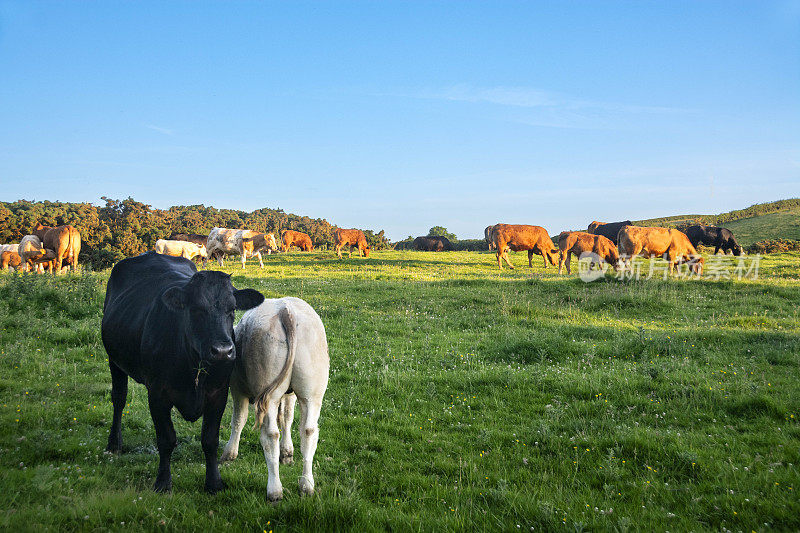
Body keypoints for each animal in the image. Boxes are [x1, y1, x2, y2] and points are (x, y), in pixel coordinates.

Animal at [101, 251, 264, 492]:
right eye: (196, 309)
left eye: (232, 309)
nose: (222, 351)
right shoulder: (157, 394)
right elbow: (166, 439)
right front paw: (162, 482)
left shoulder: (218, 393)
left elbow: (210, 440)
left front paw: (214, 482)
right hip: (114, 360)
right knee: (119, 399)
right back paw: (114, 443)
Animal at [220, 298, 330, 500]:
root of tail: (286, 310)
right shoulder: (290, 394)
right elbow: (286, 418)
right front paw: (287, 453)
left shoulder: (237, 388)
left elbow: (238, 420)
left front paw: (230, 453)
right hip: (311, 393)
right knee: (309, 431)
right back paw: (306, 485)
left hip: (268, 395)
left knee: (271, 435)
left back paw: (274, 490)